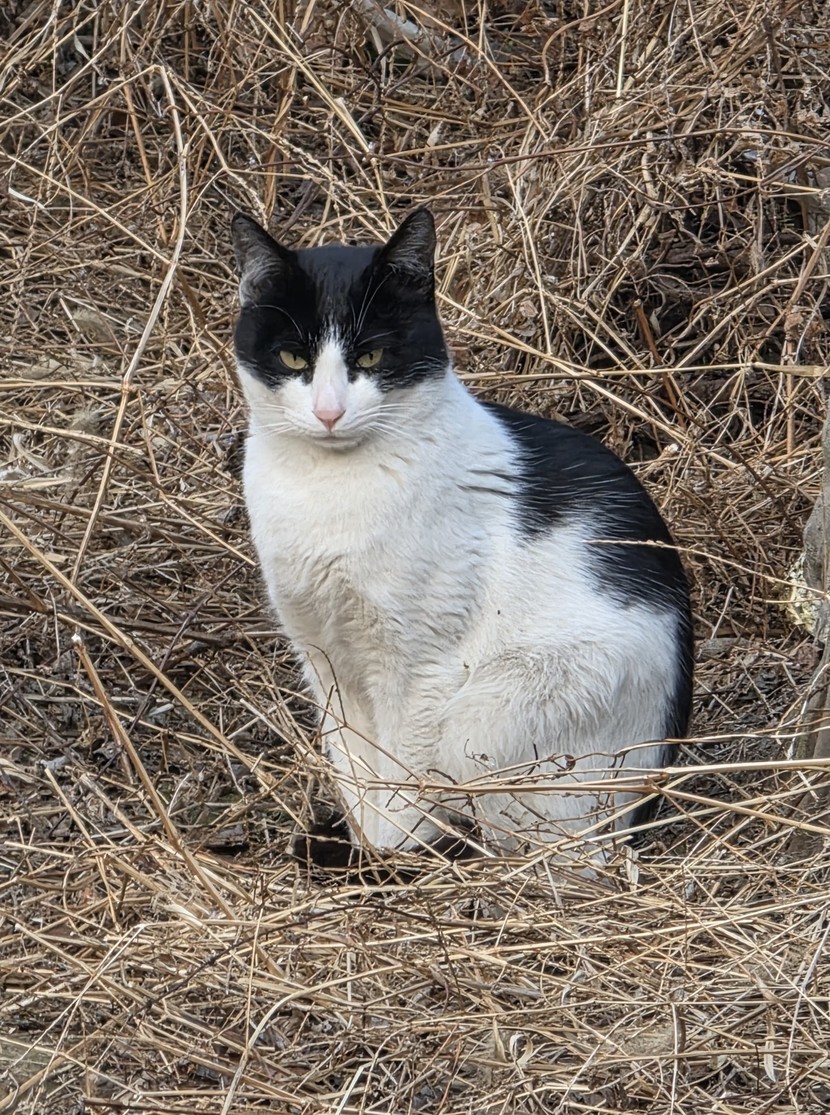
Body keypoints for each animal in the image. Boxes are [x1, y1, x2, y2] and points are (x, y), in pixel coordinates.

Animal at [231, 207, 693, 861]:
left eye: (371, 358)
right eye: (294, 360)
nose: (328, 412)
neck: (328, 489)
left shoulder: (419, 668)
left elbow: (401, 783)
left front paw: (389, 860)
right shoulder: (324, 657)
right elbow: (355, 769)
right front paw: (365, 846)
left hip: (490, 714)